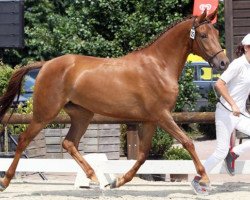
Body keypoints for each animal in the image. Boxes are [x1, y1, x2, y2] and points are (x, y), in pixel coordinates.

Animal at [0, 8, 229, 191]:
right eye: (203, 35)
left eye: (217, 33)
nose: (223, 62)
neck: (159, 65)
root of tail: (46, 64)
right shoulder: (162, 115)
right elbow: (187, 142)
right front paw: (204, 179)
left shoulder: (150, 120)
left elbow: (143, 155)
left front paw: (117, 182)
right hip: (45, 114)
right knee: (24, 140)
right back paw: (5, 182)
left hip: (82, 115)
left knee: (69, 142)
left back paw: (93, 178)